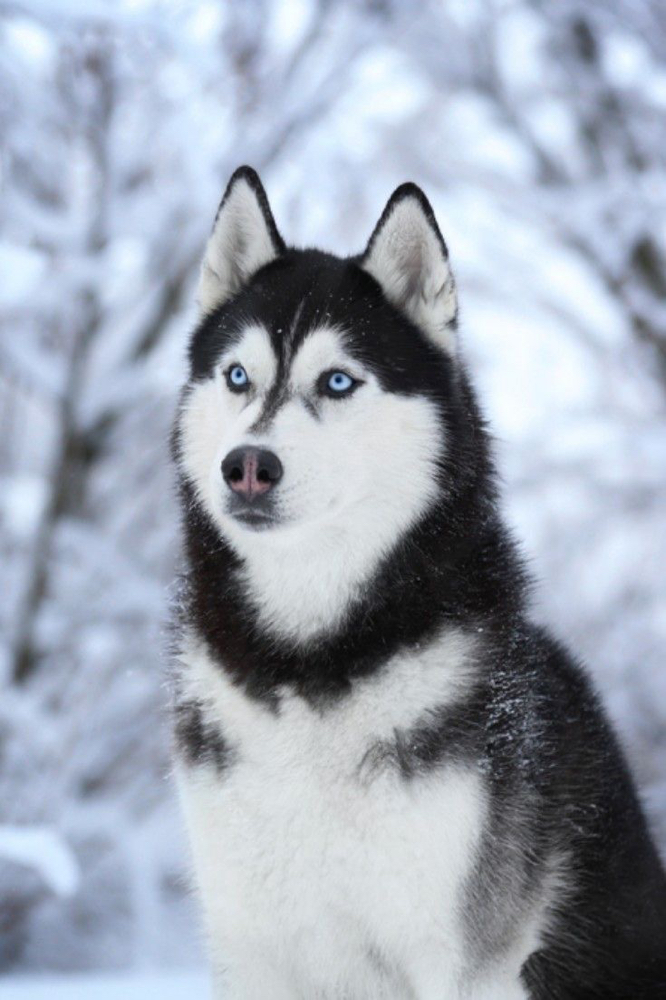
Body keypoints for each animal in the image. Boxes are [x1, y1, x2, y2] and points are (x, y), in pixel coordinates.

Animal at [170, 168, 664, 996]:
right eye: (237, 376)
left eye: (338, 381)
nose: (246, 466)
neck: (309, 657)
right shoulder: (250, 947)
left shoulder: (457, 957)